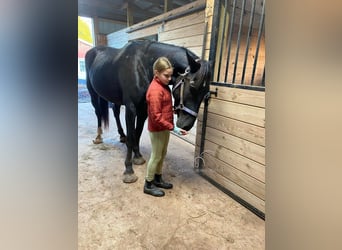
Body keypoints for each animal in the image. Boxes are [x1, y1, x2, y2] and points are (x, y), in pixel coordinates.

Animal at [85, 40, 211, 183]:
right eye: (192, 86)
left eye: (206, 93)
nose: (186, 125)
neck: (143, 65)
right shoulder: (131, 108)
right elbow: (131, 137)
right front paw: (128, 170)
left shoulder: (143, 109)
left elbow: (137, 133)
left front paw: (137, 156)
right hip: (92, 93)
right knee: (98, 113)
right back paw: (98, 137)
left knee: (116, 113)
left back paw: (121, 135)